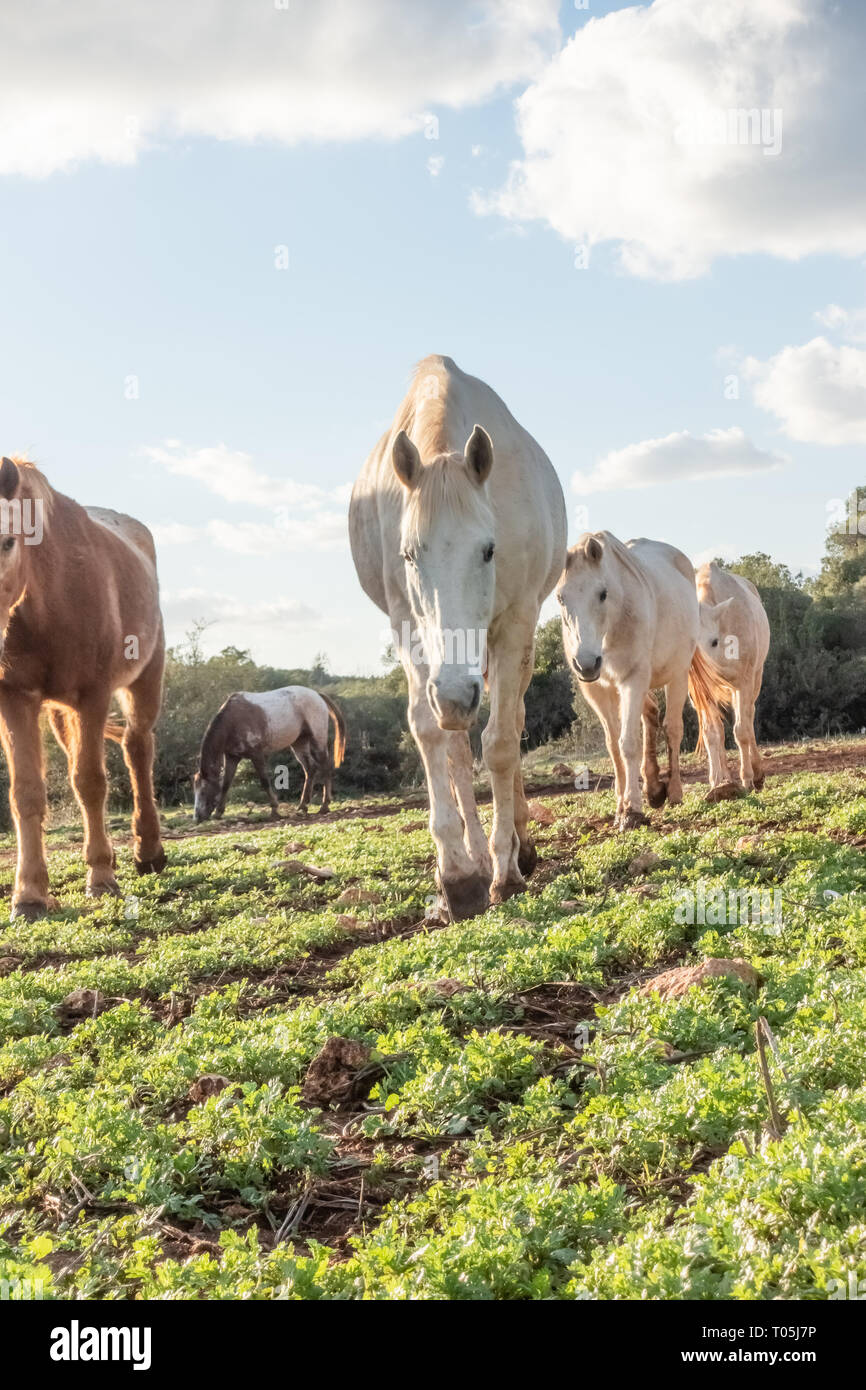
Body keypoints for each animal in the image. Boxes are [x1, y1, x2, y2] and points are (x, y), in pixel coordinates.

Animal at [0, 456, 166, 920]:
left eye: (7, 541)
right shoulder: (15, 698)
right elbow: (27, 793)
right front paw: (29, 895)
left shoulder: (94, 694)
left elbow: (91, 782)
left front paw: (101, 879)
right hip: (60, 712)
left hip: (145, 680)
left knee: (137, 748)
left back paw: (148, 850)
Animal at [193, 686, 346, 822]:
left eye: (203, 791)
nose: (197, 817)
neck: (232, 721)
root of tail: (317, 695)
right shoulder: (232, 758)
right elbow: (226, 784)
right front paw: (219, 812)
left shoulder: (257, 755)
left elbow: (264, 781)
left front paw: (274, 809)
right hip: (299, 743)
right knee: (310, 769)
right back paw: (303, 806)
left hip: (317, 739)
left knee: (325, 767)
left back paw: (324, 805)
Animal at [349, 354, 566, 920]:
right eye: (408, 554)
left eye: (488, 549)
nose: (453, 692)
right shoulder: (406, 624)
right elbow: (433, 735)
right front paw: (458, 874)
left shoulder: (515, 622)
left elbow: (502, 742)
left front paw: (507, 870)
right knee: (456, 749)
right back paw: (475, 856)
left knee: (511, 722)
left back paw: (517, 848)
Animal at [557, 531, 721, 829]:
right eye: (561, 598)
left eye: (602, 593)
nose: (586, 662)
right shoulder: (598, 691)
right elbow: (613, 747)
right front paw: (621, 806)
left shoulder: (632, 680)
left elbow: (628, 744)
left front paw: (632, 810)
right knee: (651, 717)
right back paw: (654, 788)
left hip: (677, 675)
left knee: (672, 728)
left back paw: (673, 791)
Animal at [693, 562, 770, 798]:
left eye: (713, 641)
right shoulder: (702, 696)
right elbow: (712, 733)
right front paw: (717, 782)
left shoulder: (743, 684)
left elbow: (741, 731)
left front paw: (747, 779)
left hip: (755, 679)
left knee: (749, 716)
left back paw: (757, 772)